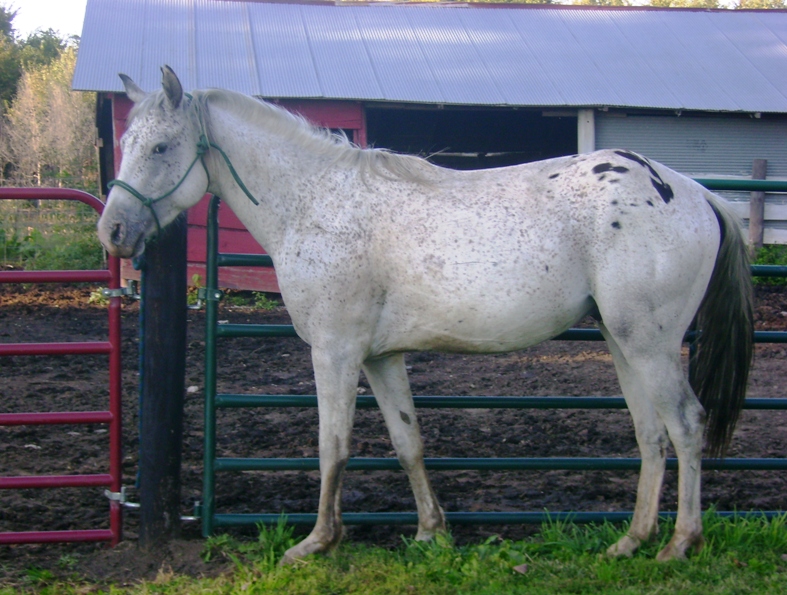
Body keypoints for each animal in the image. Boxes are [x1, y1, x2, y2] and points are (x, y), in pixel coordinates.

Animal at [100, 67, 756, 564]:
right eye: (129, 143)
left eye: (161, 147)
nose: (113, 232)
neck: (318, 203)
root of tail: (695, 193)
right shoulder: (381, 357)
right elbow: (407, 441)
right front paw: (430, 532)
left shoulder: (335, 353)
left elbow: (332, 444)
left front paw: (317, 542)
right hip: (623, 343)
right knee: (651, 433)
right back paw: (631, 542)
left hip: (649, 344)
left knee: (687, 425)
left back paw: (679, 544)